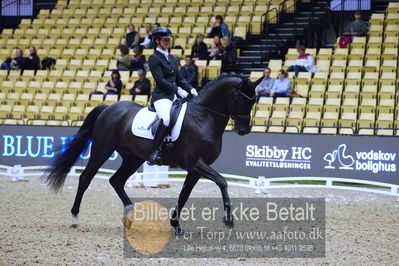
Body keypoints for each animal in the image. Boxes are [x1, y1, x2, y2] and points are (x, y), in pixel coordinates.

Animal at [43, 72, 260, 233]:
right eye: (241, 99)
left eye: (254, 101)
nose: (243, 130)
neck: (203, 116)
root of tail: (109, 108)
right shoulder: (196, 164)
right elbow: (222, 182)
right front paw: (229, 220)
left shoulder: (195, 169)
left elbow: (184, 195)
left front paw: (176, 226)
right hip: (102, 149)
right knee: (86, 178)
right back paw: (75, 219)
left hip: (133, 158)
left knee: (116, 181)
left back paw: (130, 216)